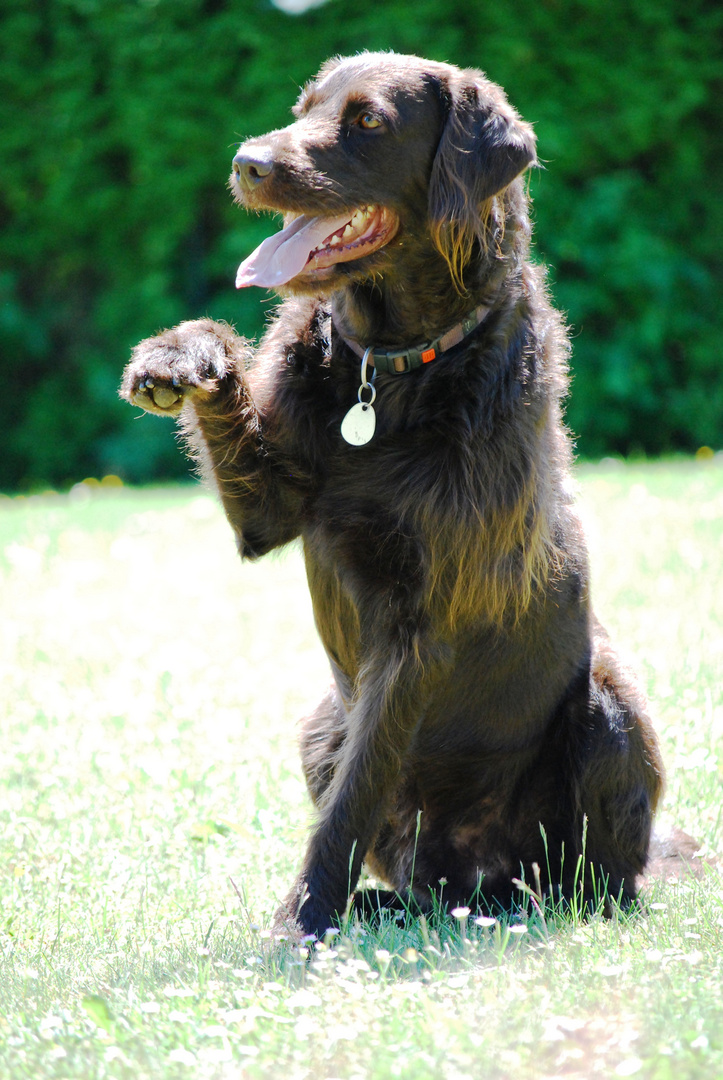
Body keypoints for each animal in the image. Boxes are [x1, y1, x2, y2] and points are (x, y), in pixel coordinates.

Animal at [121, 50, 661, 937]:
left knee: (590, 883)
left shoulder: (420, 627)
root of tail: (471, 876)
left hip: (608, 710)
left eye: (368, 121)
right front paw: (180, 354)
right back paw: (389, 905)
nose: (246, 163)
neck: (393, 366)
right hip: (321, 723)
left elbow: (357, 794)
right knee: (419, 876)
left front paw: (301, 921)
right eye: (303, 108)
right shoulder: (268, 513)